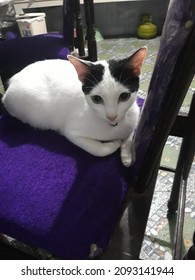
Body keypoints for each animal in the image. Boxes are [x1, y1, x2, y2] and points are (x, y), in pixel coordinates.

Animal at [2, 47, 146, 166]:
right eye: (97, 99)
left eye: (124, 96)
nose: (112, 116)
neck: (114, 126)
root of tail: (13, 79)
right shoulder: (72, 133)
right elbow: (99, 150)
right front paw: (115, 144)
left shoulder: (134, 117)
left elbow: (130, 134)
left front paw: (126, 155)